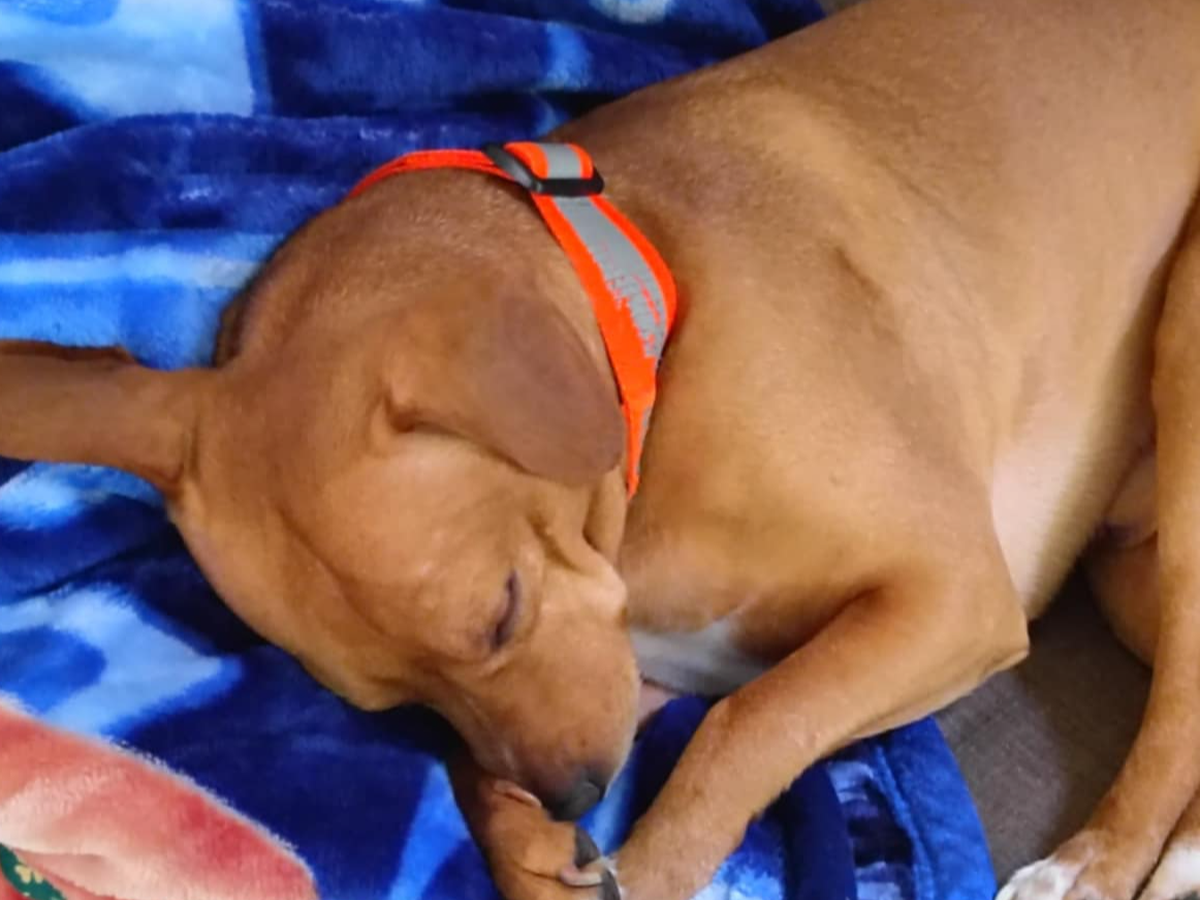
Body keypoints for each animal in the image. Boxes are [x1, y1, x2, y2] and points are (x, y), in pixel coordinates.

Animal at [3, 0, 1200, 896]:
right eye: (401, 710)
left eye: (501, 609)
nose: (579, 797)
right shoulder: (642, 662)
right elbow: (501, 775)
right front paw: (524, 844)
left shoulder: (948, 597)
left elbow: (747, 728)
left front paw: (643, 861)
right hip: (1124, 576)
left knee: (1172, 721)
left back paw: (1095, 866)